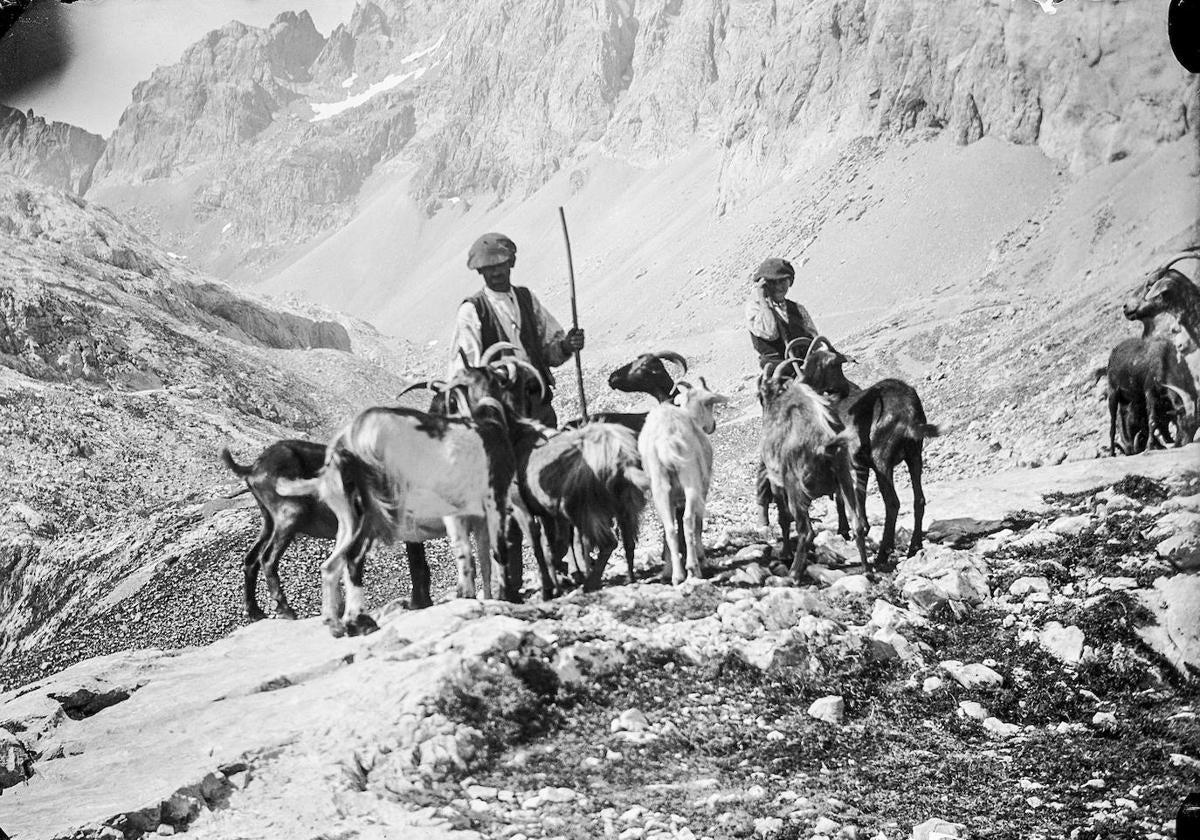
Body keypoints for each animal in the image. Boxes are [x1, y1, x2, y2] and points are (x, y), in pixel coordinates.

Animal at [638, 379, 729, 583]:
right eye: (709, 404)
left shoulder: (674, 499)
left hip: (660, 487)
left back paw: (678, 575)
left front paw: (668, 568)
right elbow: (698, 524)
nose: (712, 425)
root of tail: (668, 439)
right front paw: (702, 558)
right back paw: (694, 568)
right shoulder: (703, 489)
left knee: (670, 529)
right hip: (691, 481)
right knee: (688, 521)